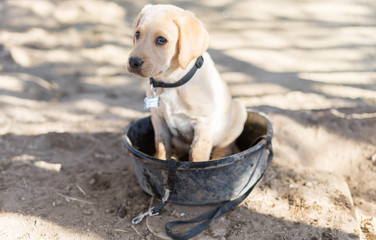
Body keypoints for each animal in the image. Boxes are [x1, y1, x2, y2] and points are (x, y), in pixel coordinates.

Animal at [128, 4, 248, 161]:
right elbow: (161, 146)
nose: (133, 62)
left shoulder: (204, 123)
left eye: (161, 40)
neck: (171, 83)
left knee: (225, 146)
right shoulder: (158, 119)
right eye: (137, 34)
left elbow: (197, 153)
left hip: (238, 111)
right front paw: (160, 159)